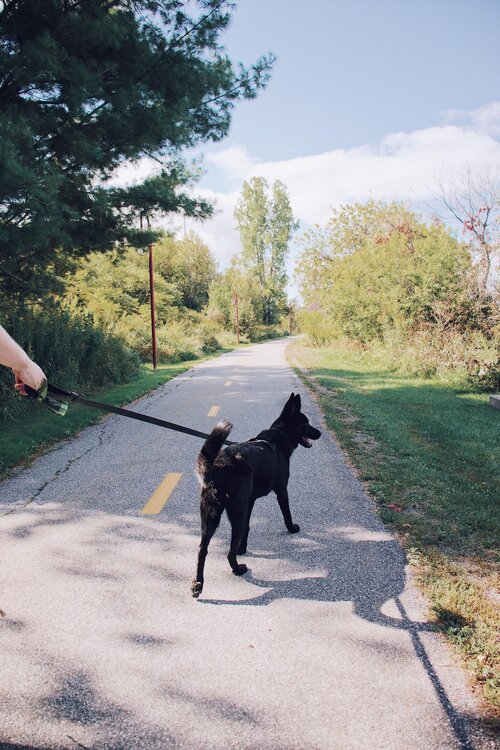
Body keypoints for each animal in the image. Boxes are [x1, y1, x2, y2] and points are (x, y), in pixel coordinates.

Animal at [189, 394, 322, 600]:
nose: (320, 432)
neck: (278, 437)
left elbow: (248, 528)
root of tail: (217, 467)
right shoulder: (281, 490)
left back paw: (198, 584)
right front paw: (292, 528)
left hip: (211, 517)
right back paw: (238, 569)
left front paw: (243, 548)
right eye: (306, 423)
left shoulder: (250, 502)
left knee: (202, 549)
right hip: (236, 513)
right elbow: (287, 514)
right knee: (229, 553)